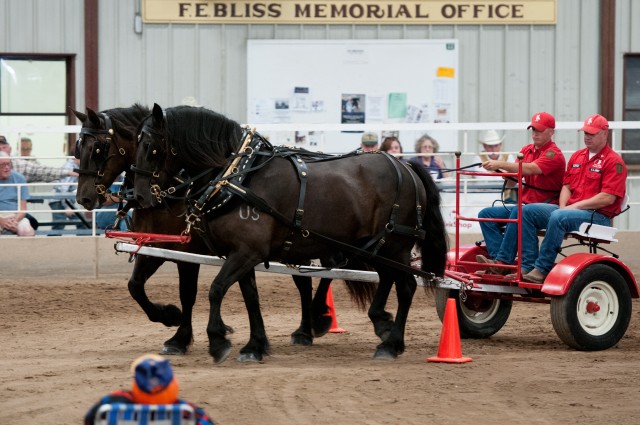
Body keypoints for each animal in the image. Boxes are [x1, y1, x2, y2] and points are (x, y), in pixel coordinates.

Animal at [72, 104, 348, 356]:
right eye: (77, 148)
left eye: (97, 149)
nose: (83, 198)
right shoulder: (156, 247)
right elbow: (135, 286)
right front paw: (171, 316)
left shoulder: (187, 252)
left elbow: (188, 293)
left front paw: (180, 337)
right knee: (308, 279)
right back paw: (305, 328)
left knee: (324, 273)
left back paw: (314, 321)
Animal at [132, 104, 448, 362]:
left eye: (149, 145)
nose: (138, 196)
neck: (240, 176)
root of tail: (406, 166)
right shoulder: (241, 253)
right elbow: (250, 297)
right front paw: (255, 346)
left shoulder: (245, 252)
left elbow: (216, 289)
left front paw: (218, 341)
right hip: (377, 246)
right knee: (386, 279)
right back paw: (380, 324)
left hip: (396, 245)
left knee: (405, 287)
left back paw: (391, 344)